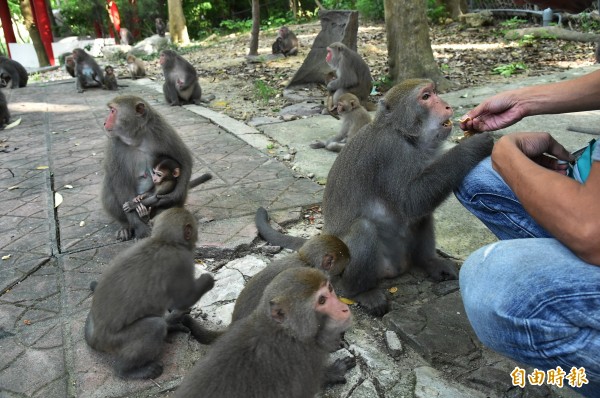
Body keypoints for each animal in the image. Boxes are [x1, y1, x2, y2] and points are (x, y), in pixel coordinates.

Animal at [83, 208, 217, 380]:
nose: (196, 237)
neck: (162, 241)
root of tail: (95, 339)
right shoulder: (182, 261)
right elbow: (183, 299)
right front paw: (207, 280)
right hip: (114, 340)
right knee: (155, 326)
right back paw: (127, 370)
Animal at [102, 95, 193, 241]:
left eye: (112, 111)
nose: (105, 123)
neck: (136, 138)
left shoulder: (160, 130)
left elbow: (184, 160)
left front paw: (173, 196)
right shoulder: (114, 145)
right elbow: (121, 185)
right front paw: (140, 228)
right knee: (109, 186)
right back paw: (126, 226)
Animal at [171, 268, 354, 398]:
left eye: (330, 289)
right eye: (322, 300)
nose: (344, 308)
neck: (286, 332)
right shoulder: (306, 358)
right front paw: (333, 373)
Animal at [255, 78, 494, 318]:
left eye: (434, 92)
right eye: (426, 97)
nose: (446, 105)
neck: (405, 136)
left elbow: (417, 207)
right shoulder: (390, 152)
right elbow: (411, 202)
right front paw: (474, 145)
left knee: (422, 217)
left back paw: (428, 262)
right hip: (346, 267)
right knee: (364, 228)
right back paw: (361, 292)